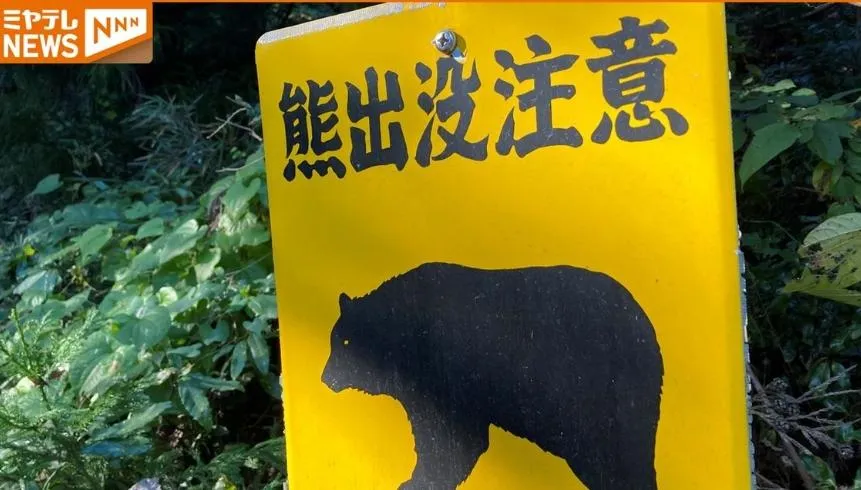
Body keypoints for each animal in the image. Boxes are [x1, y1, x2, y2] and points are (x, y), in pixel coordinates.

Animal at [321, 262, 663, 490]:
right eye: (335, 339)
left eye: (345, 341)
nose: (326, 378)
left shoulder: (447, 373)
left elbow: (454, 439)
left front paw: (419, 480)